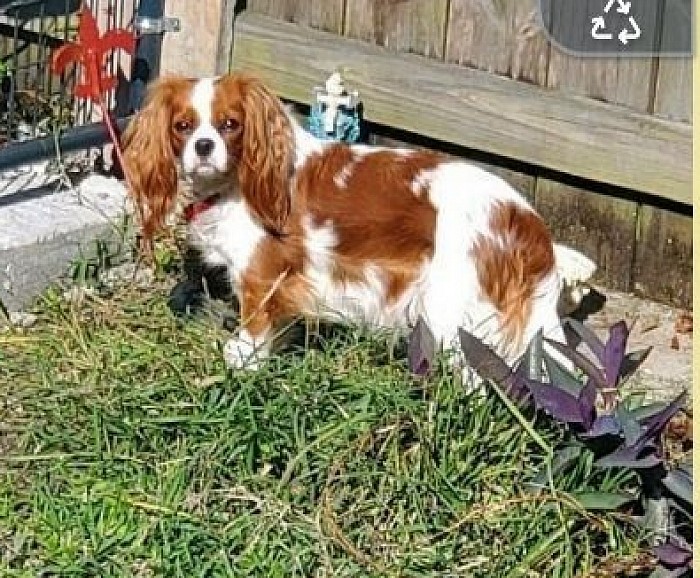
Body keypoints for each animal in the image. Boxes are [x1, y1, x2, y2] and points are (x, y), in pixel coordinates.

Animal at [120, 73, 592, 368]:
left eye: (230, 125)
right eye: (183, 126)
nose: (203, 146)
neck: (237, 181)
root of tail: (525, 219)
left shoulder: (261, 273)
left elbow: (254, 324)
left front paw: (243, 360)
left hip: (452, 311)